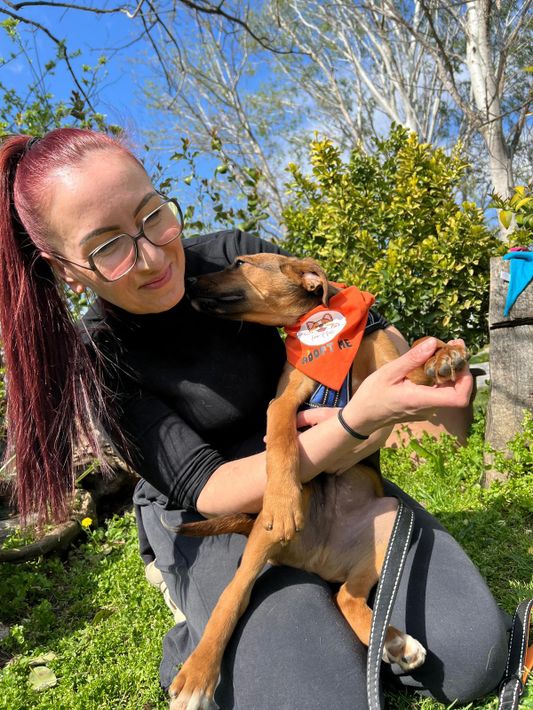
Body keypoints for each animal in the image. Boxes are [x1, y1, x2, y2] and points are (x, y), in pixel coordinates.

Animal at [168, 253, 469, 709]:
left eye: (239, 262)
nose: (188, 280)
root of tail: (317, 559)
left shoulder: (388, 371)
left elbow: (416, 359)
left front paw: (442, 355)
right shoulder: (289, 395)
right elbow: (279, 432)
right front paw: (282, 498)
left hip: (389, 517)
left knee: (347, 596)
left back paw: (394, 643)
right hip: (262, 541)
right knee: (232, 596)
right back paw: (197, 675)